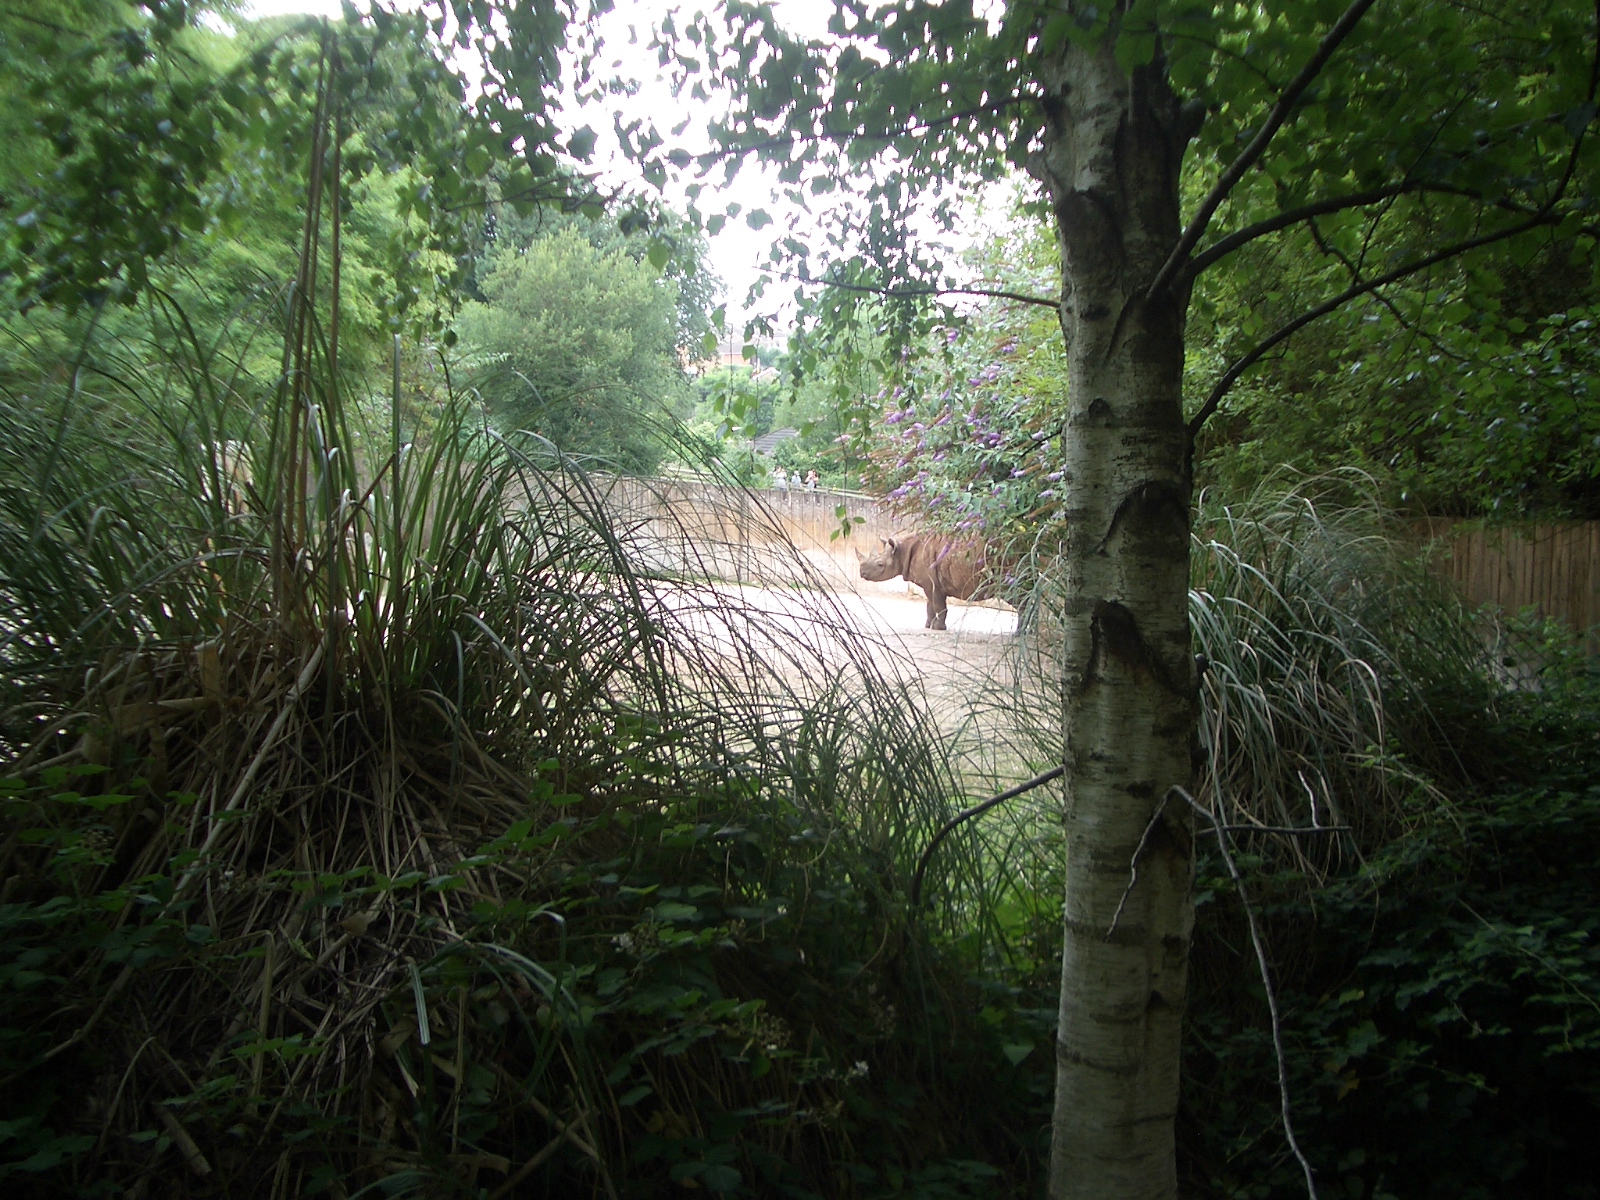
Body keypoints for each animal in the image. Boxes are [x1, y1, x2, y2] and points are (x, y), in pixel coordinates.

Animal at [856, 533, 991, 629]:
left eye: (880, 565)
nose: (862, 573)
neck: (901, 551)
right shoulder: (930, 583)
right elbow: (930, 605)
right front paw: (928, 625)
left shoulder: (933, 584)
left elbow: (938, 605)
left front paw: (938, 628)